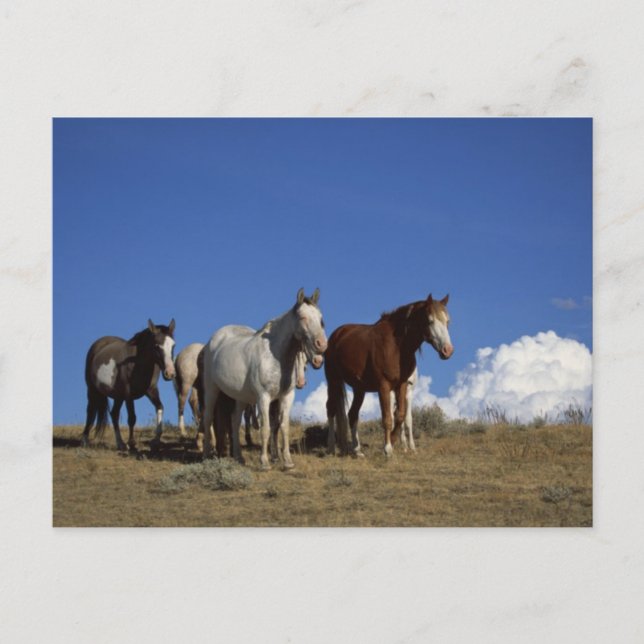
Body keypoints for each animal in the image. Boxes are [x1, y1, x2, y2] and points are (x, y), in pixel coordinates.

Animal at [82, 319, 176, 451]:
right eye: (157, 346)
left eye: (173, 345)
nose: (170, 373)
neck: (139, 363)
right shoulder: (128, 394)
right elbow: (132, 417)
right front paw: (132, 443)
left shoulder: (151, 391)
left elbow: (160, 407)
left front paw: (156, 440)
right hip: (92, 390)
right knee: (90, 412)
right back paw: (85, 441)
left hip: (118, 396)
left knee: (114, 414)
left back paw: (120, 443)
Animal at [202, 288, 327, 469]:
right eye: (303, 317)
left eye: (320, 318)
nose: (322, 345)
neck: (277, 357)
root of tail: (214, 339)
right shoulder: (263, 397)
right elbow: (266, 428)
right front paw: (265, 462)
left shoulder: (287, 397)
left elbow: (283, 427)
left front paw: (287, 462)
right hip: (212, 389)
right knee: (208, 418)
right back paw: (205, 455)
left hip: (241, 397)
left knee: (234, 420)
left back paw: (239, 457)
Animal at [325, 294, 453, 457]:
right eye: (430, 321)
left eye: (447, 321)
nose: (447, 350)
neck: (396, 346)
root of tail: (337, 334)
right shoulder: (384, 386)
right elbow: (387, 418)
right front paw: (388, 449)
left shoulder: (402, 385)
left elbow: (400, 415)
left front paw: (393, 441)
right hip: (333, 380)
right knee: (331, 409)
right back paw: (331, 447)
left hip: (359, 389)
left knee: (352, 414)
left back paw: (357, 451)